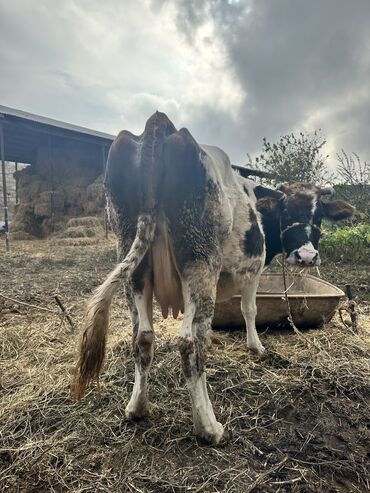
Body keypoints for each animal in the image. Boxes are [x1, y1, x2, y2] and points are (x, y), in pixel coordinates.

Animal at [72, 113, 352, 444]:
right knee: (189, 342)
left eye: (318, 214)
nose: (307, 256)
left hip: (134, 266)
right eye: (286, 211)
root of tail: (159, 125)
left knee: (142, 336)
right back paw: (208, 426)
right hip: (200, 263)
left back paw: (137, 407)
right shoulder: (252, 269)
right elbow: (249, 309)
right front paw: (256, 347)